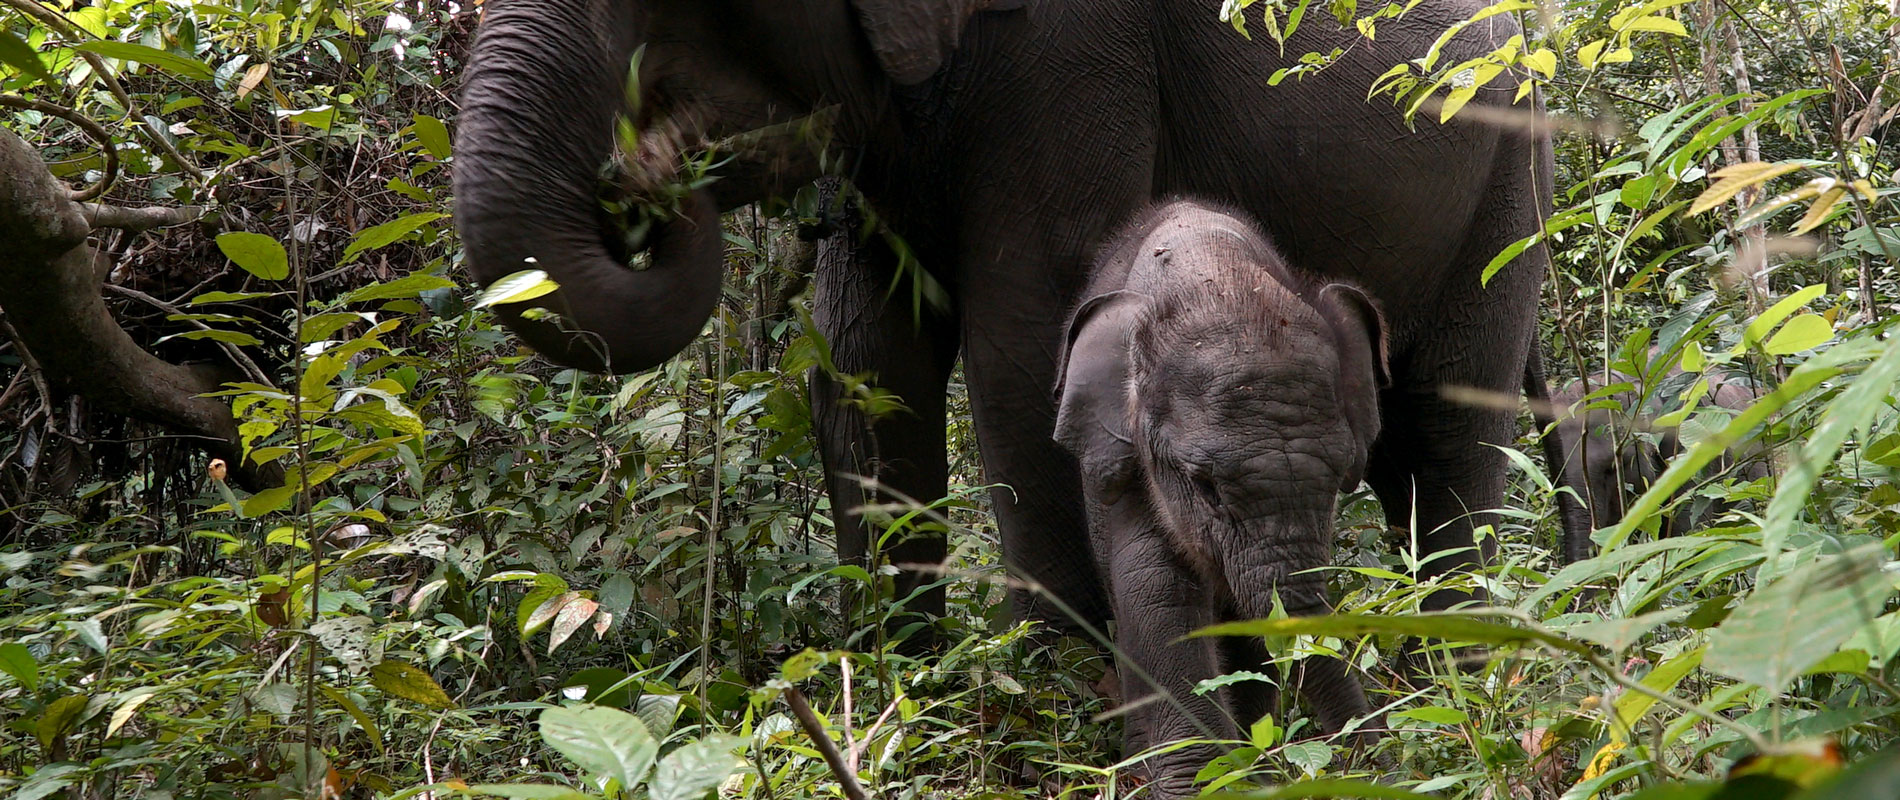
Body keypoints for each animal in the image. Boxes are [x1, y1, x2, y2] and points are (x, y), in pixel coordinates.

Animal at [453, 0, 1554, 639]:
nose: (649, 167)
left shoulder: (1077, 54)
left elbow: (1020, 348)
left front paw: (1057, 696)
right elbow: (866, 360)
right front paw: (902, 683)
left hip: (1507, 182)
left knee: (1445, 431)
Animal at [1053, 200, 1377, 792]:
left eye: (1341, 477)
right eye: (1204, 486)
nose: (1368, 762)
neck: (1212, 268)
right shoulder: (1125, 459)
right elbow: (1154, 583)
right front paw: (1201, 779)